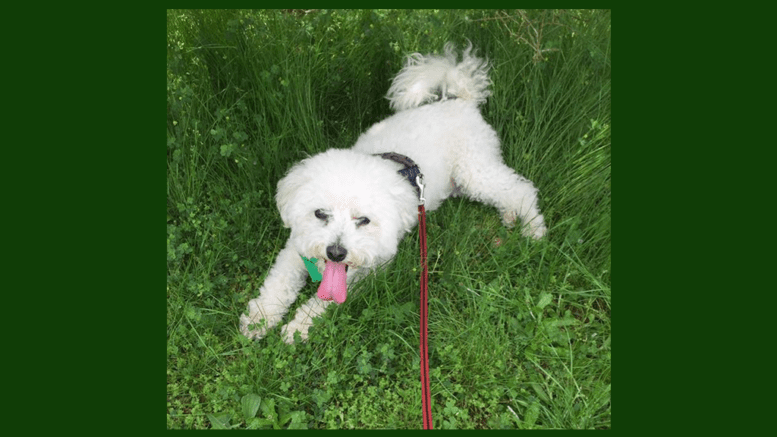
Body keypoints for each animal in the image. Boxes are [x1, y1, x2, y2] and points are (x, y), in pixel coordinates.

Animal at [239, 42, 548, 342]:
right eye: (320, 214)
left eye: (364, 220)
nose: (336, 252)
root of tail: (461, 100)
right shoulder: (295, 248)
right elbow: (278, 283)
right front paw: (260, 318)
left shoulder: (371, 266)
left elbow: (325, 300)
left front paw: (300, 326)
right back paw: (510, 216)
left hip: (475, 170)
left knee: (521, 189)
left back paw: (533, 229)